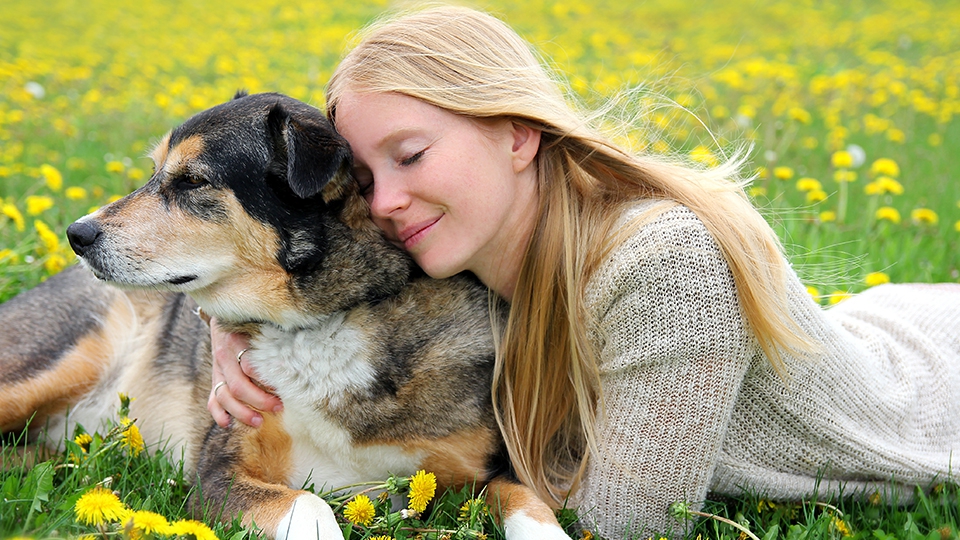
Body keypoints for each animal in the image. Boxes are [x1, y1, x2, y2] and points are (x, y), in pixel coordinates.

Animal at [0, 94, 568, 540]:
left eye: (192, 181)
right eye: (156, 171)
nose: (76, 234)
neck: (324, 322)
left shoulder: (481, 471)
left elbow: (526, 498)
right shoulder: (218, 475)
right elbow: (310, 507)